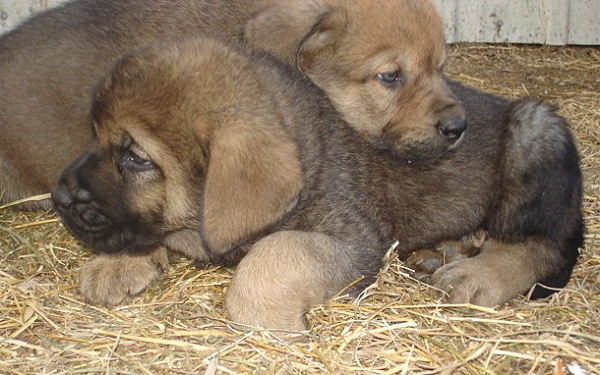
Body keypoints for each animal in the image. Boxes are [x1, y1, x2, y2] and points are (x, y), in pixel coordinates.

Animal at [50, 36, 580, 332]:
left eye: (135, 158)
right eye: (95, 136)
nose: (57, 197)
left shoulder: (356, 242)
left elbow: (275, 255)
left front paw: (271, 322)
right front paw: (118, 264)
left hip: (536, 132)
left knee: (548, 243)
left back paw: (478, 272)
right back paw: (446, 249)